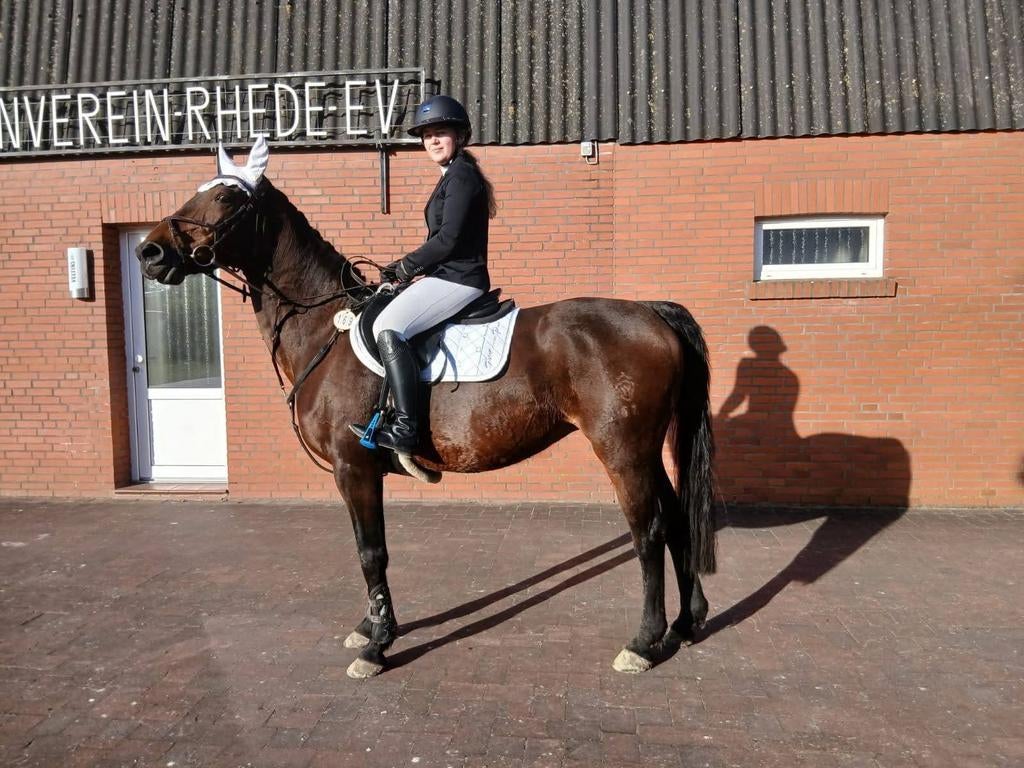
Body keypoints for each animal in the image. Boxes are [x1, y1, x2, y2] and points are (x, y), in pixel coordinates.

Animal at [136, 139, 717, 678]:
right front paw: (369, 627)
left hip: (622, 451)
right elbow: (366, 547)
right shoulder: (359, 472)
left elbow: (371, 551)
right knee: (677, 521)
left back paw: (643, 643)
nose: (150, 252)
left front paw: (377, 647)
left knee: (649, 532)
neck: (326, 328)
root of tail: (652, 312)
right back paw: (686, 624)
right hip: (646, 451)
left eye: (226, 197)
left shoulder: (354, 467)